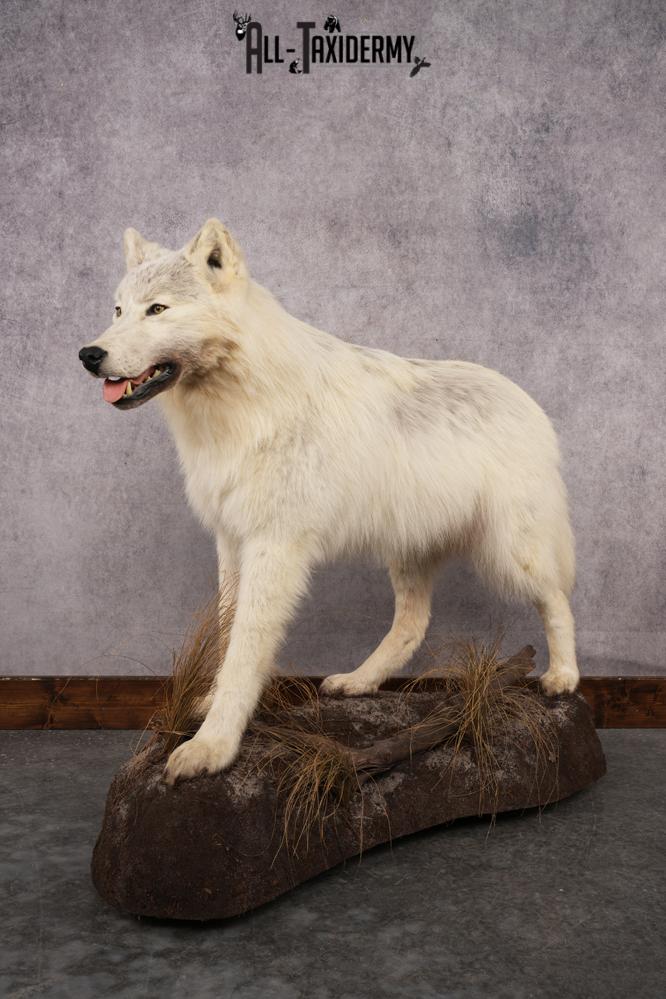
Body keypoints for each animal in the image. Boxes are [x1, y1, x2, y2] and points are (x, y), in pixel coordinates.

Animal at [79, 218, 579, 783]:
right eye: (118, 310)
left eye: (157, 310)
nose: (89, 355)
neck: (241, 407)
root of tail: (528, 403)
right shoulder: (231, 542)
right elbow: (228, 635)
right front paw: (208, 708)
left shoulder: (274, 548)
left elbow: (246, 648)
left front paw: (213, 745)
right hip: (408, 554)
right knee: (413, 624)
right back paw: (359, 681)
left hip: (511, 554)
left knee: (558, 600)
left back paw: (563, 676)